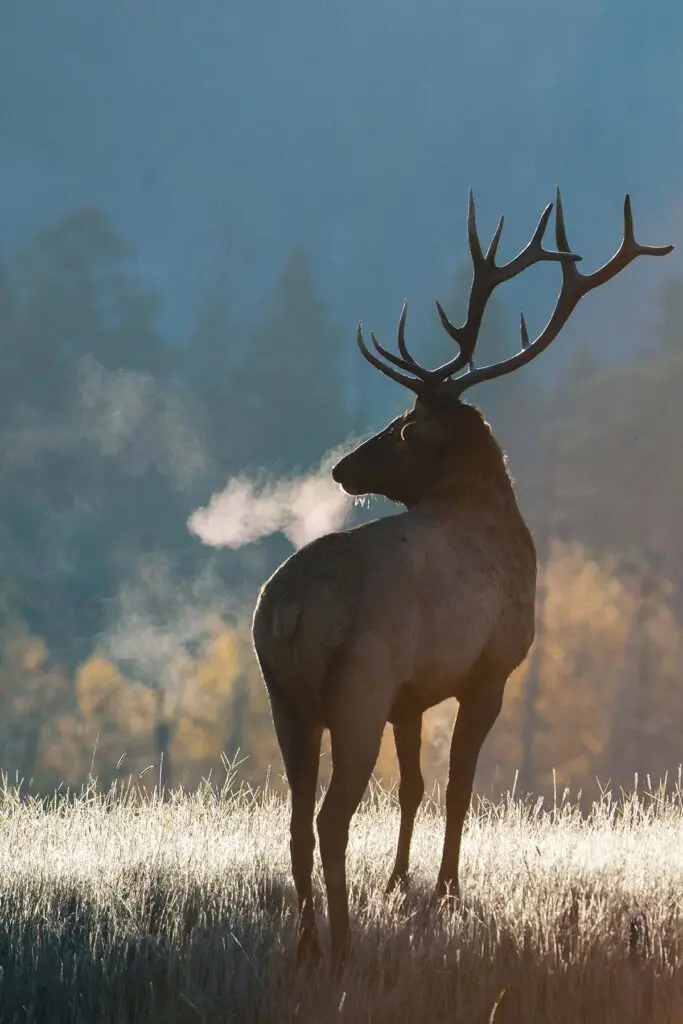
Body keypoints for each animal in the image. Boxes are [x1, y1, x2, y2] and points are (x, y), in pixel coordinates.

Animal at [252, 189, 673, 967]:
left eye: (401, 427)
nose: (342, 467)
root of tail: (285, 609)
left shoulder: (411, 695)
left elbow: (415, 786)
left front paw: (399, 880)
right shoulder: (491, 667)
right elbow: (458, 786)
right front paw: (446, 890)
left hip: (284, 695)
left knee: (295, 818)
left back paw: (305, 942)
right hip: (356, 686)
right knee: (329, 817)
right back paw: (342, 942)